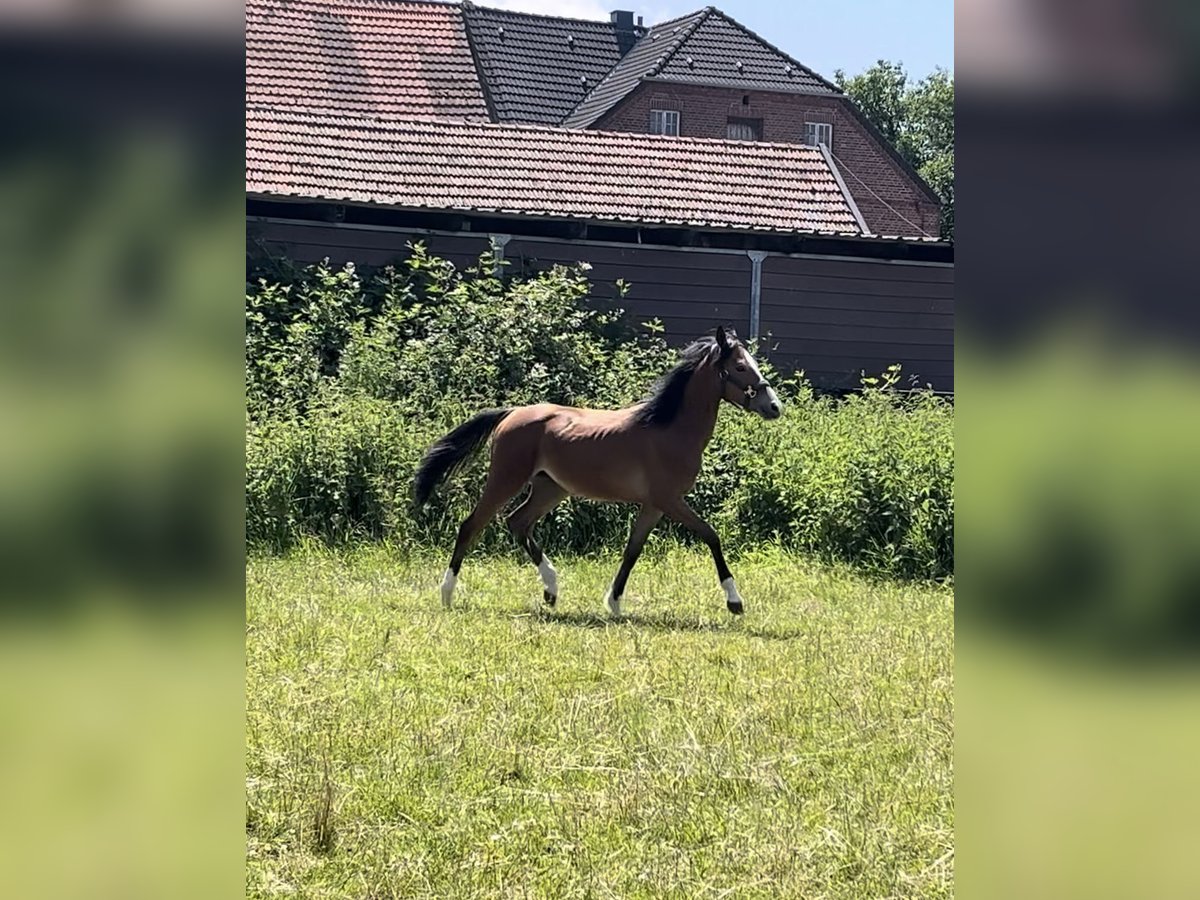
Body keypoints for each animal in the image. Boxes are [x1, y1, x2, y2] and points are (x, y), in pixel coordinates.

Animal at [412, 328, 782, 619]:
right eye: (739, 366)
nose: (774, 406)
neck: (669, 430)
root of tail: (512, 413)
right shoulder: (670, 500)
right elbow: (711, 535)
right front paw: (735, 602)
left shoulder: (654, 505)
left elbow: (633, 550)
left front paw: (614, 602)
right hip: (506, 479)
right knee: (471, 525)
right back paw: (447, 594)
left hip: (550, 488)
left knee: (518, 522)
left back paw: (551, 590)